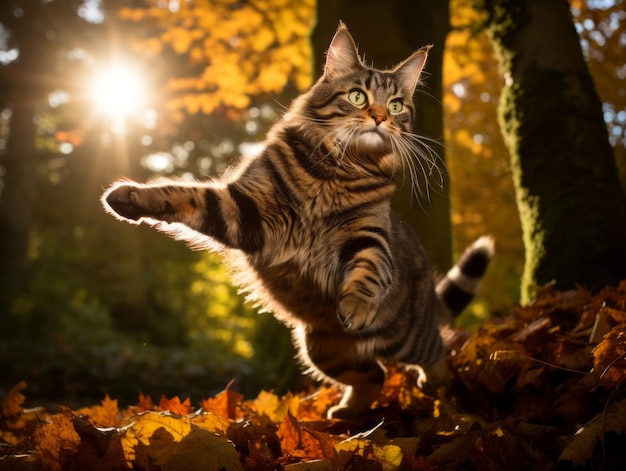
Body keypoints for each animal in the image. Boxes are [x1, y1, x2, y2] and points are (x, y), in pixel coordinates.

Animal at [101, 23, 492, 420]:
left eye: (396, 104)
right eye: (358, 97)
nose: (381, 117)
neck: (334, 172)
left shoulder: (368, 234)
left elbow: (369, 269)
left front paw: (356, 306)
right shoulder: (243, 211)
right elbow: (180, 194)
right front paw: (128, 197)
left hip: (403, 337)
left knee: (438, 352)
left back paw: (437, 392)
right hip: (318, 348)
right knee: (376, 375)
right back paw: (345, 413)